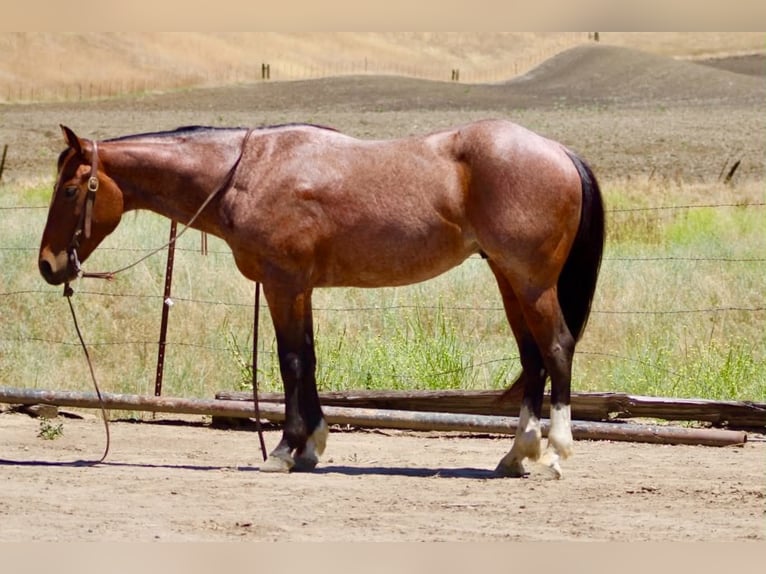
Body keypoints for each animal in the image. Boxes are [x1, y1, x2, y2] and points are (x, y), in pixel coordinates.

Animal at [39, 119, 605, 478]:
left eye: (69, 190)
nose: (48, 264)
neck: (246, 172)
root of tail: (558, 151)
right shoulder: (300, 288)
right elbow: (307, 360)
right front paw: (311, 444)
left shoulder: (283, 283)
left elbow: (290, 361)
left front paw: (286, 449)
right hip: (510, 280)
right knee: (532, 358)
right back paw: (516, 455)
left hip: (530, 281)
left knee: (556, 348)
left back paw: (554, 455)